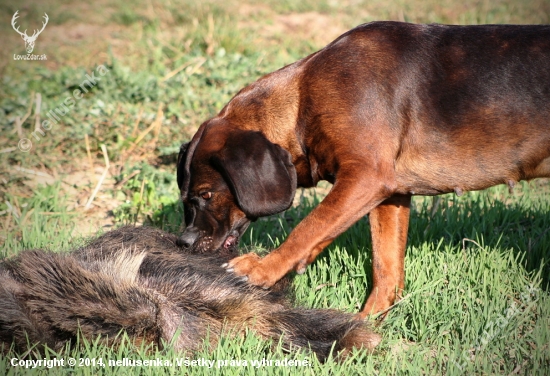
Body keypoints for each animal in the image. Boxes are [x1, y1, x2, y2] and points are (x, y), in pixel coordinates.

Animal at [178, 21, 550, 318]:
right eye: (185, 199)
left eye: (206, 194)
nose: (183, 242)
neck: (302, 101)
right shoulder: (391, 194)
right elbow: (386, 268)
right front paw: (366, 324)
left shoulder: (365, 178)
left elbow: (308, 228)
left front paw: (262, 269)